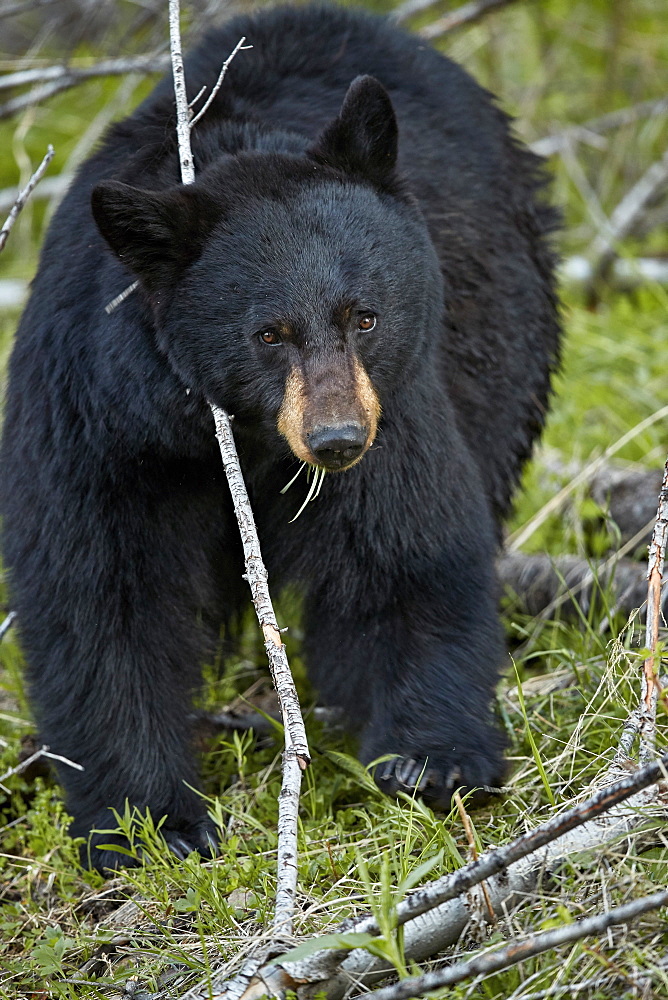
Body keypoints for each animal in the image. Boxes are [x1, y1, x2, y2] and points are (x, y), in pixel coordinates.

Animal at [0, 3, 560, 868]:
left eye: (365, 317)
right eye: (269, 334)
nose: (336, 440)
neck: (238, 433)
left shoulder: (397, 403)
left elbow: (402, 553)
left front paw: (429, 759)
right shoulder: (101, 421)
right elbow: (102, 596)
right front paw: (151, 826)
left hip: (501, 321)